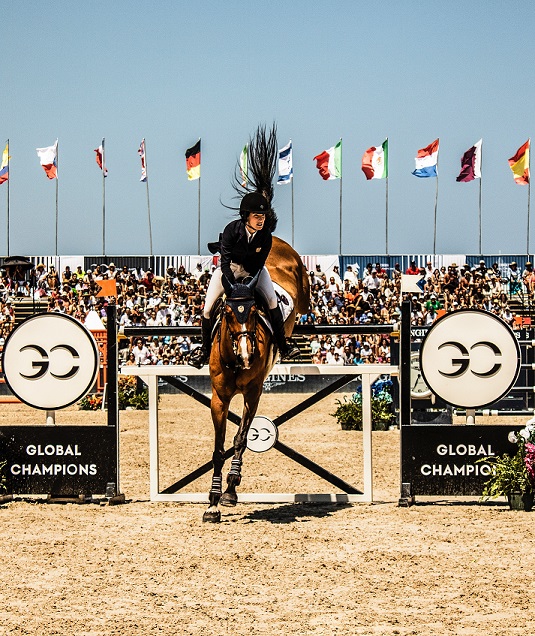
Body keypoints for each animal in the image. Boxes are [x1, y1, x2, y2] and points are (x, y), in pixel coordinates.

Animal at [202, 236, 312, 524]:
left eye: (254, 312)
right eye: (227, 312)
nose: (246, 355)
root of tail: (277, 241)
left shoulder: (253, 394)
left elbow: (241, 439)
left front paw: (230, 490)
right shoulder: (219, 399)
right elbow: (219, 449)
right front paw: (212, 502)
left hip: (303, 293)